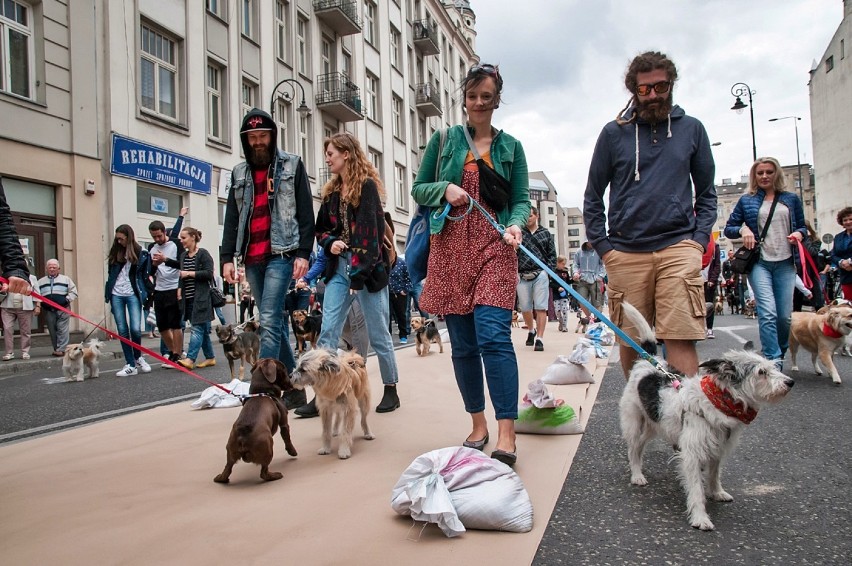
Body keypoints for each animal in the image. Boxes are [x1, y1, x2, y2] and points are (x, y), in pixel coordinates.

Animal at [620, 304, 792, 532]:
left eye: (772, 367)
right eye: (761, 372)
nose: (790, 383)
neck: (720, 402)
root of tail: (647, 362)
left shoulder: (717, 448)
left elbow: (714, 474)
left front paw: (717, 492)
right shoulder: (692, 454)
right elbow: (696, 489)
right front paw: (700, 517)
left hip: (654, 423)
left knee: (640, 445)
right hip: (634, 421)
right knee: (633, 448)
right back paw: (637, 475)